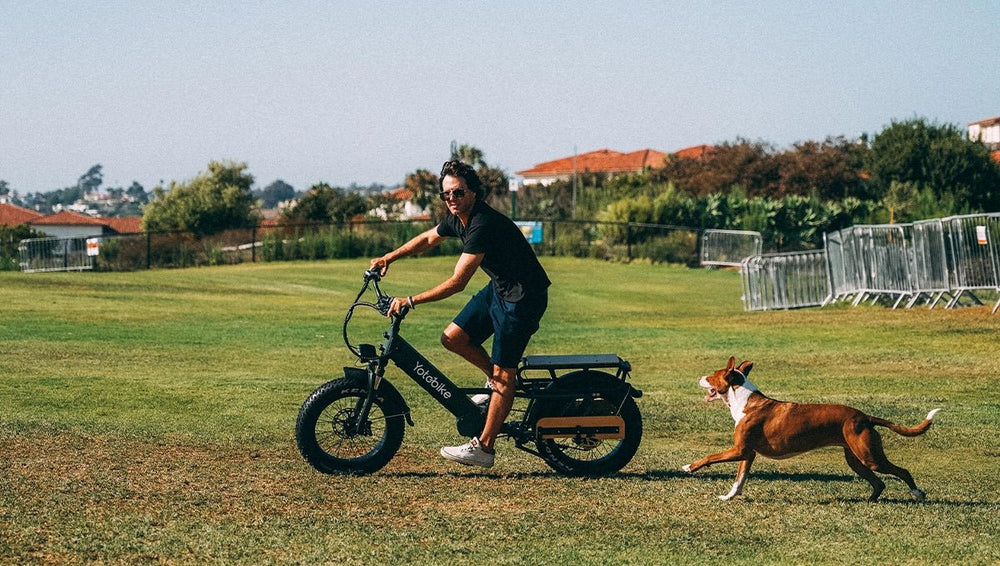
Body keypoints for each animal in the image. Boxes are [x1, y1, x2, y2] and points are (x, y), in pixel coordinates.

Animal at [680, 358, 936, 504]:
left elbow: (709, 457)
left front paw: (689, 467)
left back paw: (917, 493)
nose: (698, 377)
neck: (744, 401)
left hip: (870, 457)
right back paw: (868, 501)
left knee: (902, 472)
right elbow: (739, 480)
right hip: (855, 459)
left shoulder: (739, 450)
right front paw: (728, 497)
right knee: (879, 483)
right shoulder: (748, 453)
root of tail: (864, 416)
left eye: (711, 376)